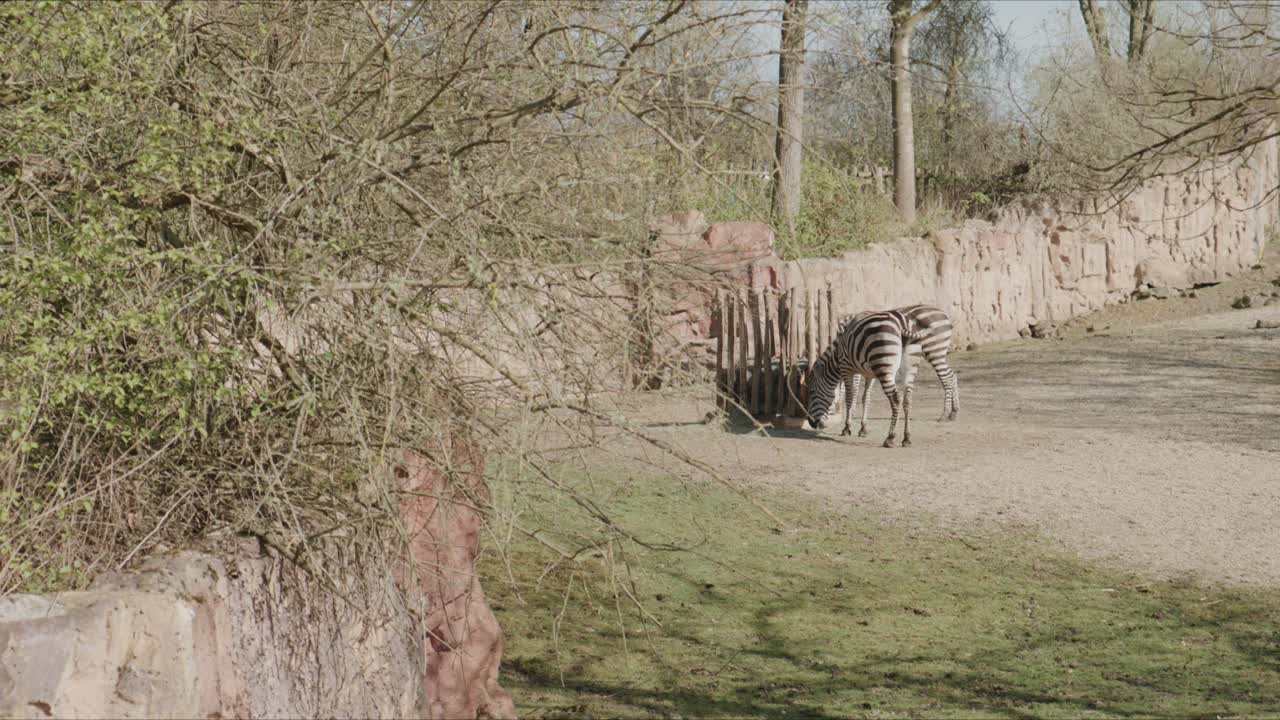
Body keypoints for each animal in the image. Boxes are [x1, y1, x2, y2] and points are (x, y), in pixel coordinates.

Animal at [801, 305, 958, 447]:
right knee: (911, 397)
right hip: (910, 366)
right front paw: (863, 428)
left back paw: (892, 437)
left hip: (914, 357)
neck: (837, 356)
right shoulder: (869, 374)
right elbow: (866, 398)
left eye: (812, 392)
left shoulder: (848, 368)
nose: (811, 423)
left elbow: (850, 397)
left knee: (898, 398)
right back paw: (909, 436)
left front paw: (847, 427)